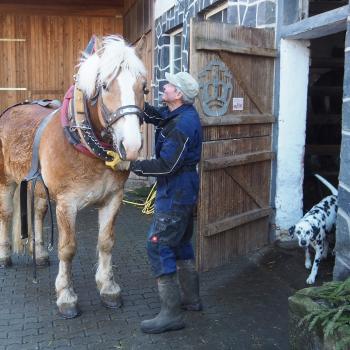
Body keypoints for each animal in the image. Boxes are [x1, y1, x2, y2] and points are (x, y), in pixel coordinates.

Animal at [0, 35, 147, 318]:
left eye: (143, 88)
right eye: (104, 85)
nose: (132, 147)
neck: (83, 141)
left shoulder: (114, 198)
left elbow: (106, 242)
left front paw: (108, 288)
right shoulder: (67, 204)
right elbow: (67, 249)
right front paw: (66, 296)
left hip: (38, 187)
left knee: (37, 213)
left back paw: (39, 253)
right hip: (6, 181)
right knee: (7, 214)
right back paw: (5, 256)